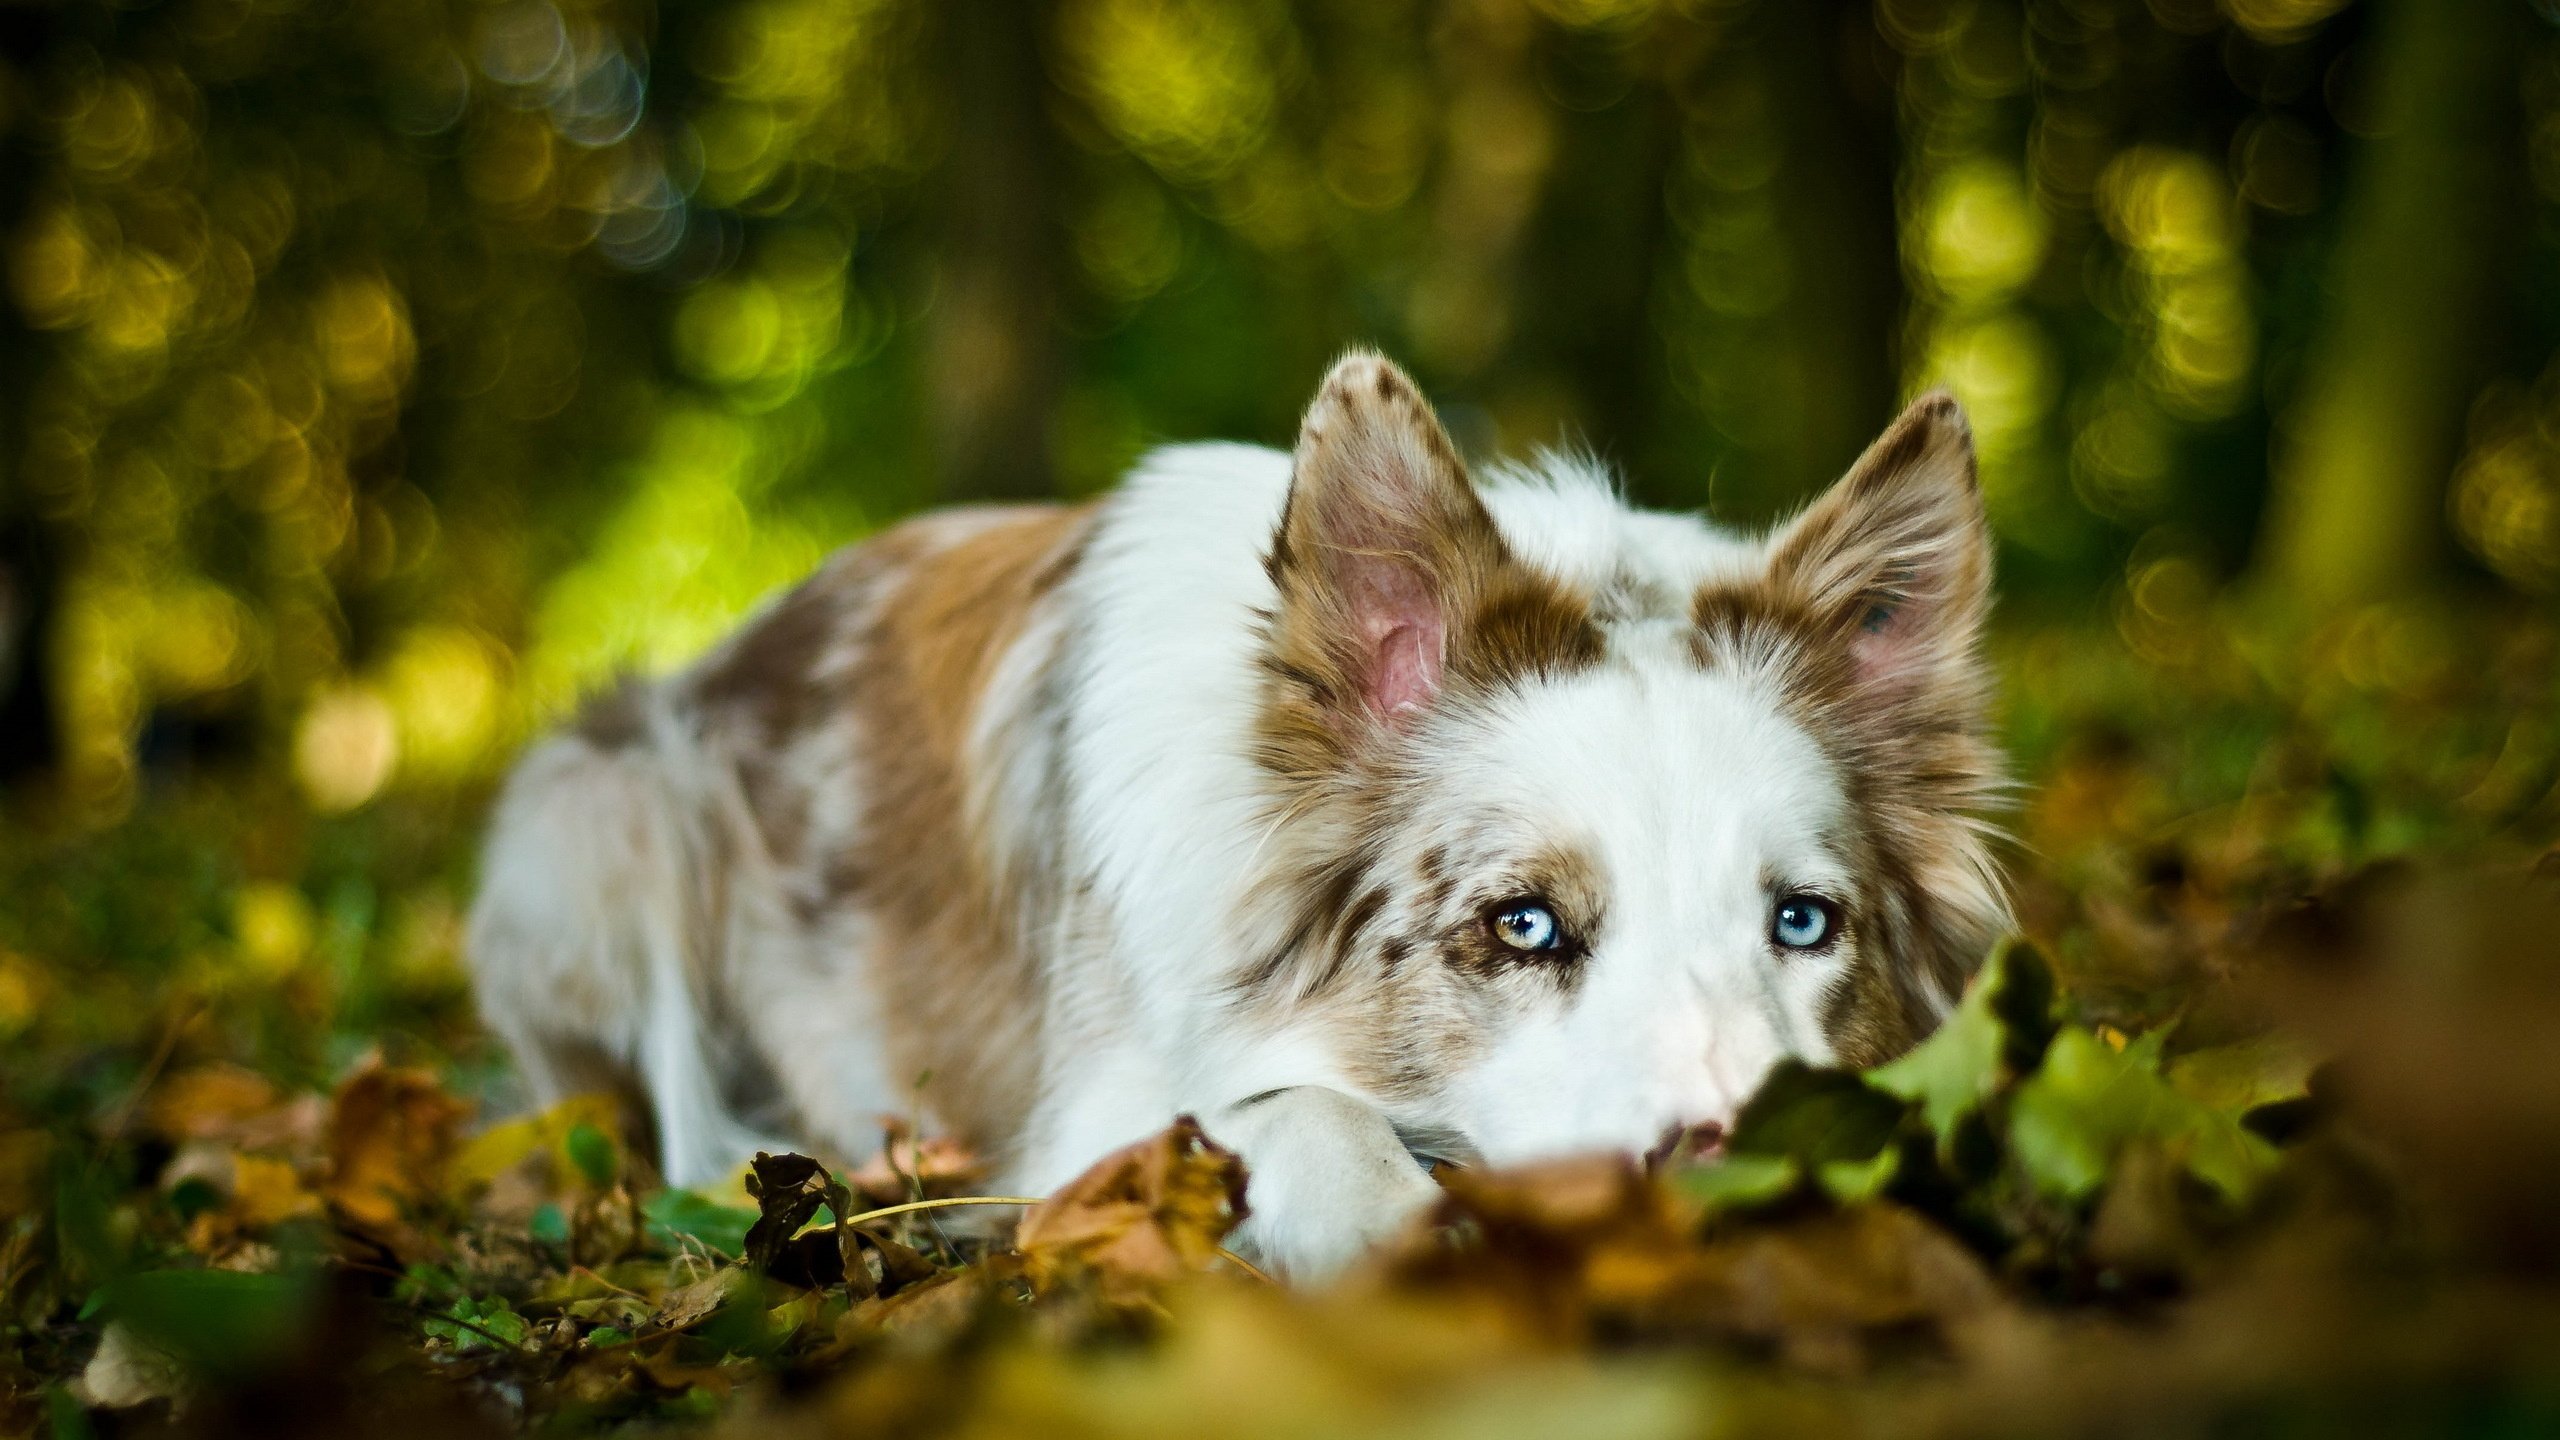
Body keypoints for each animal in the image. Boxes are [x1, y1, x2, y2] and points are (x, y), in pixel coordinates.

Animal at [471, 353, 2007, 1270]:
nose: (1745, 1160)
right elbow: (1304, 1119)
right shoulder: (1090, 1125)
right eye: (1523, 926)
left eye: (1802, 923)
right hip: (609, 808)